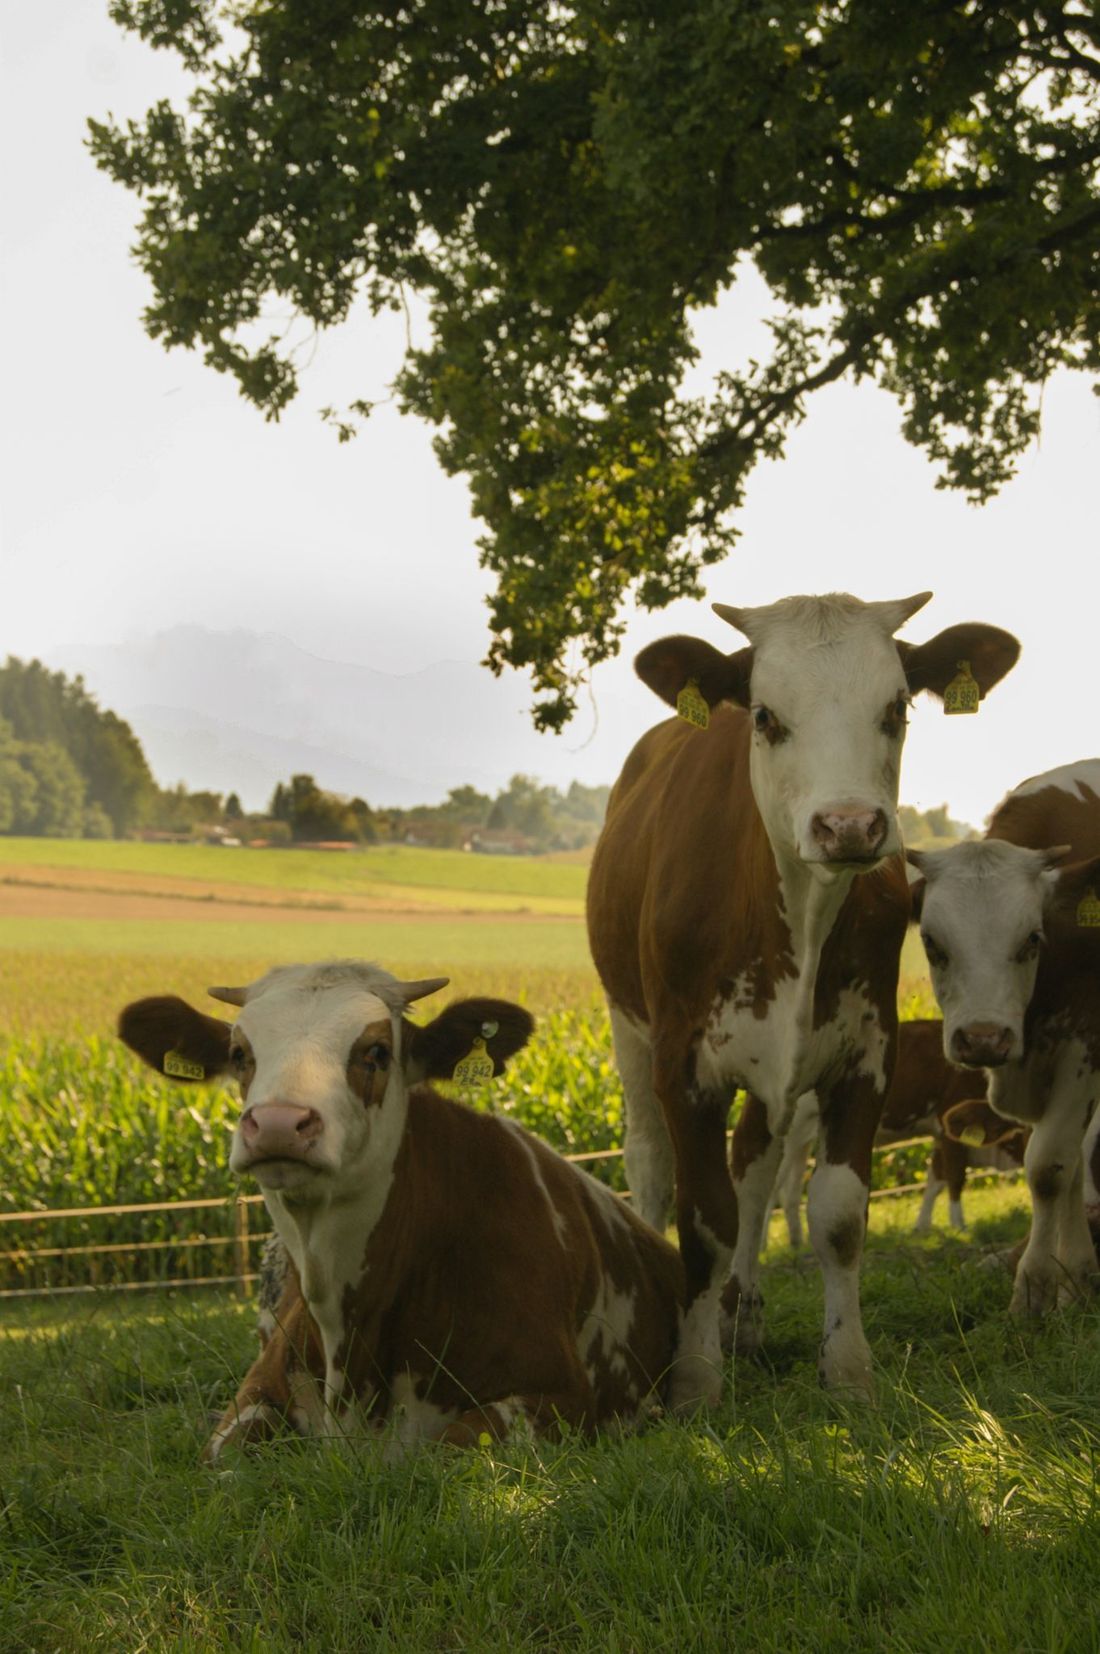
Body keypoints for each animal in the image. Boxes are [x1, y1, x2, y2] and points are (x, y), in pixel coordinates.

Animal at [117, 961, 685, 1459]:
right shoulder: (257, 1388)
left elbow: (449, 1446)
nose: (279, 1123)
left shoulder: (562, 1398)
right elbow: (225, 1455)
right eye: (239, 1052)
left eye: (377, 1051)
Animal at [771, 1021, 1026, 1249]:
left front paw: (922, 1226)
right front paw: (959, 1226)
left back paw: (797, 1243)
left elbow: (935, 1180)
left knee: (790, 1193)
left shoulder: (939, 1134)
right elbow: (955, 1178)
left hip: (803, 1140)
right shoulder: (949, 1127)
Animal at [909, 759, 1100, 1314]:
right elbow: (1071, 1164)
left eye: (1032, 938)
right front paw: (1077, 1281)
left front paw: (1034, 1289)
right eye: (931, 943)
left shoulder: (1085, 1043)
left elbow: (1049, 1165)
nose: (983, 1038)